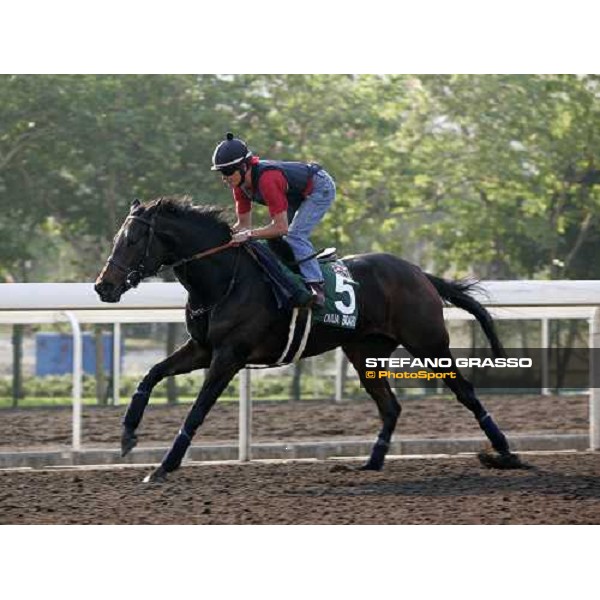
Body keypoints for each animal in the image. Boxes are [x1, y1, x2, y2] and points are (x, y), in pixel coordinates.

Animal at [92, 198, 524, 482]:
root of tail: (420, 273)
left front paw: (164, 466)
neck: (223, 279)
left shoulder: (229, 355)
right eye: (117, 237)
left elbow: (196, 411)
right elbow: (150, 375)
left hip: (428, 344)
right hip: (364, 352)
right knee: (390, 406)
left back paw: (504, 452)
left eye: (133, 240)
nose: (102, 286)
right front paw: (127, 435)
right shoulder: (201, 349)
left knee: (465, 392)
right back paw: (371, 462)